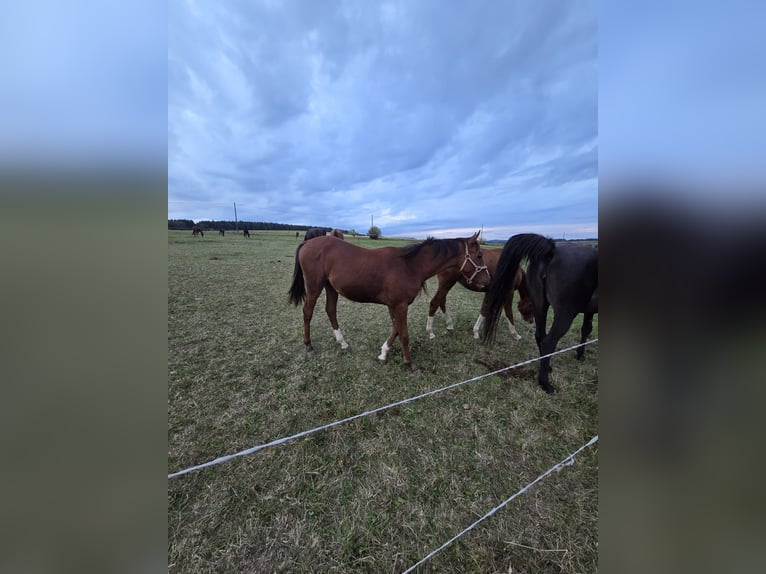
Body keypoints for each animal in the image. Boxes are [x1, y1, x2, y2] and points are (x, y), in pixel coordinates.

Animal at [288, 232, 489, 371]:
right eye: (479, 255)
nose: (487, 281)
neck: (410, 265)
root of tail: (307, 242)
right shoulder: (400, 306)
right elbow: (404, 334)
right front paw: (409, 363)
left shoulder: (394, 306)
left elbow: (396, 330)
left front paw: (384, 353)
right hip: (314, 287)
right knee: (308, 312)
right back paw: (309, 345)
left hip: (330, 288)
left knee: (330, 311)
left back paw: (342, 342)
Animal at [482, 233, 597, 394]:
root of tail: (551, 250)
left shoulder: (589, 310)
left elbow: (586, 329)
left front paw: (580, 354)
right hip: (566, 313)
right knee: (549, 342)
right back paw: (545, 384)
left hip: (540, 306)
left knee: (540, 336)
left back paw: (547, 367)